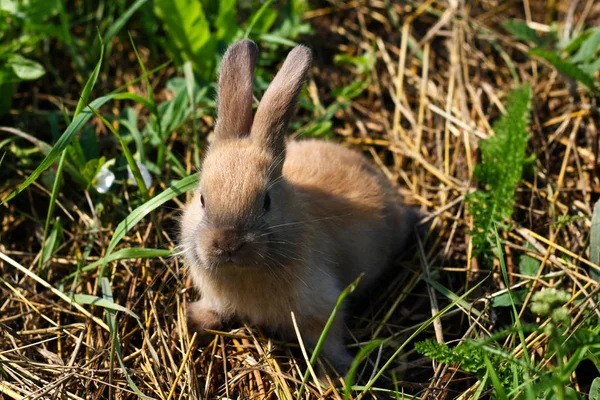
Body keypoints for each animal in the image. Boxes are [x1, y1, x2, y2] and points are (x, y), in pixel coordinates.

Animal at [180, 39, 420, 376]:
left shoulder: (322, 309)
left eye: (266, 201)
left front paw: (339, 370)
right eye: (202, 198)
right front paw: (192, 320)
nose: (227, 244)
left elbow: (328, 340)